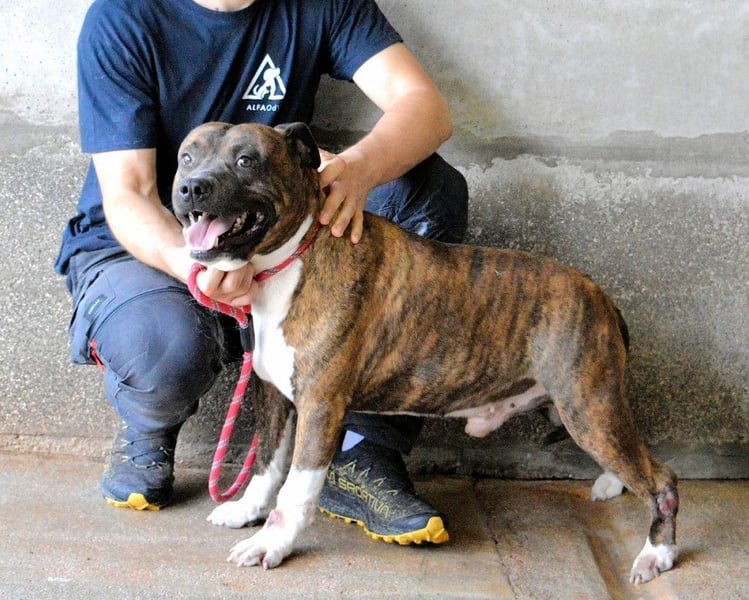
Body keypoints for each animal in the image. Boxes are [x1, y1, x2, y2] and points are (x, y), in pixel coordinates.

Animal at [171, 122, 678, 585]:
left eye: (246, 160)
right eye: (187, 156)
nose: (190, 186)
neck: (293, 259)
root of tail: (601, 296)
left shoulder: (319, 405)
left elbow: (296, 487)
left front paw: (272, 543)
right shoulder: (274, 396)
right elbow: (266, 464)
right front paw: (246, 511)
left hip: (588, 408)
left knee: (662, 480)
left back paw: (657, 554)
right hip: (582, 407)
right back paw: (614, 485)